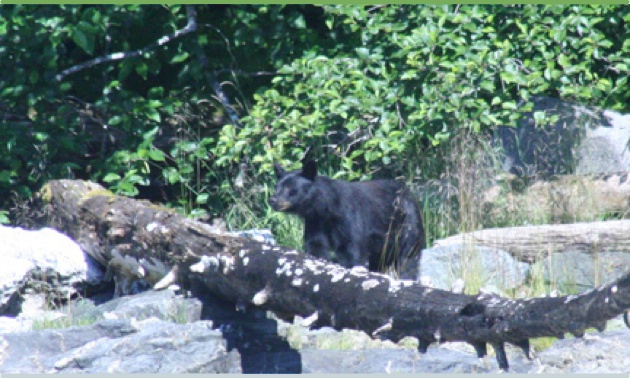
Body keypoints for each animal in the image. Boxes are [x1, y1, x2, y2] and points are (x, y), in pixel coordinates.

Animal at [270, 159, 428, 278]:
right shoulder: (315, 222)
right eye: (277, 187)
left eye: (290, 188)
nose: (272, 200)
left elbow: (351, 249)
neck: (326, 207)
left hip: (407, 223)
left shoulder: (349, 217)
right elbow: (316, 246)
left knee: (408, 257)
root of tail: (409, 193)